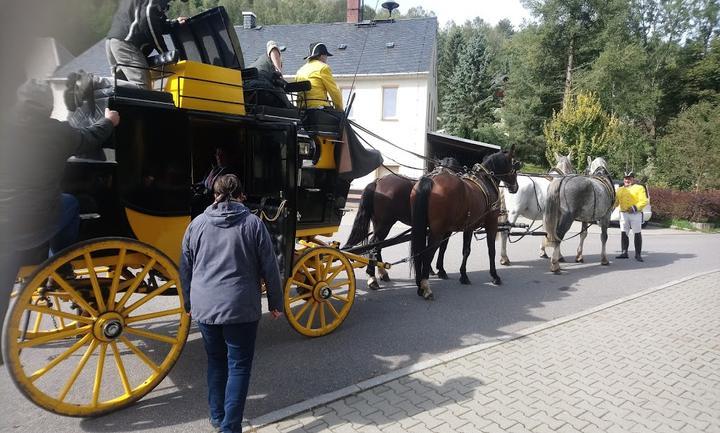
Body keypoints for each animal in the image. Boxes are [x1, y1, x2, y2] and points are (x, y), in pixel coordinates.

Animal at [344, 157, 462, 288]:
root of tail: (378, 182)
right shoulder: (445, 229)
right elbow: (442, 247)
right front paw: (441, 270)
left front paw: (430, 269)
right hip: (385, 224)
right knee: (374, 243)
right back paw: (372, 278)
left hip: (378, 223)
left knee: (376, 246)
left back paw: (382, 273)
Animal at [410, 147, 516, 298]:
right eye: (514, 165)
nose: (515, 187)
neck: (486, 181)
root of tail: (431, 180)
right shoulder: (491, 224)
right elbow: (489, 250)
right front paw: (494, 276)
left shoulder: (467, 227)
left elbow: (461, 249)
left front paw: (461, 274)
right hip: (437, 231)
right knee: (428, 252)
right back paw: (426, 287)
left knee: (421, 252)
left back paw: (420, 285)